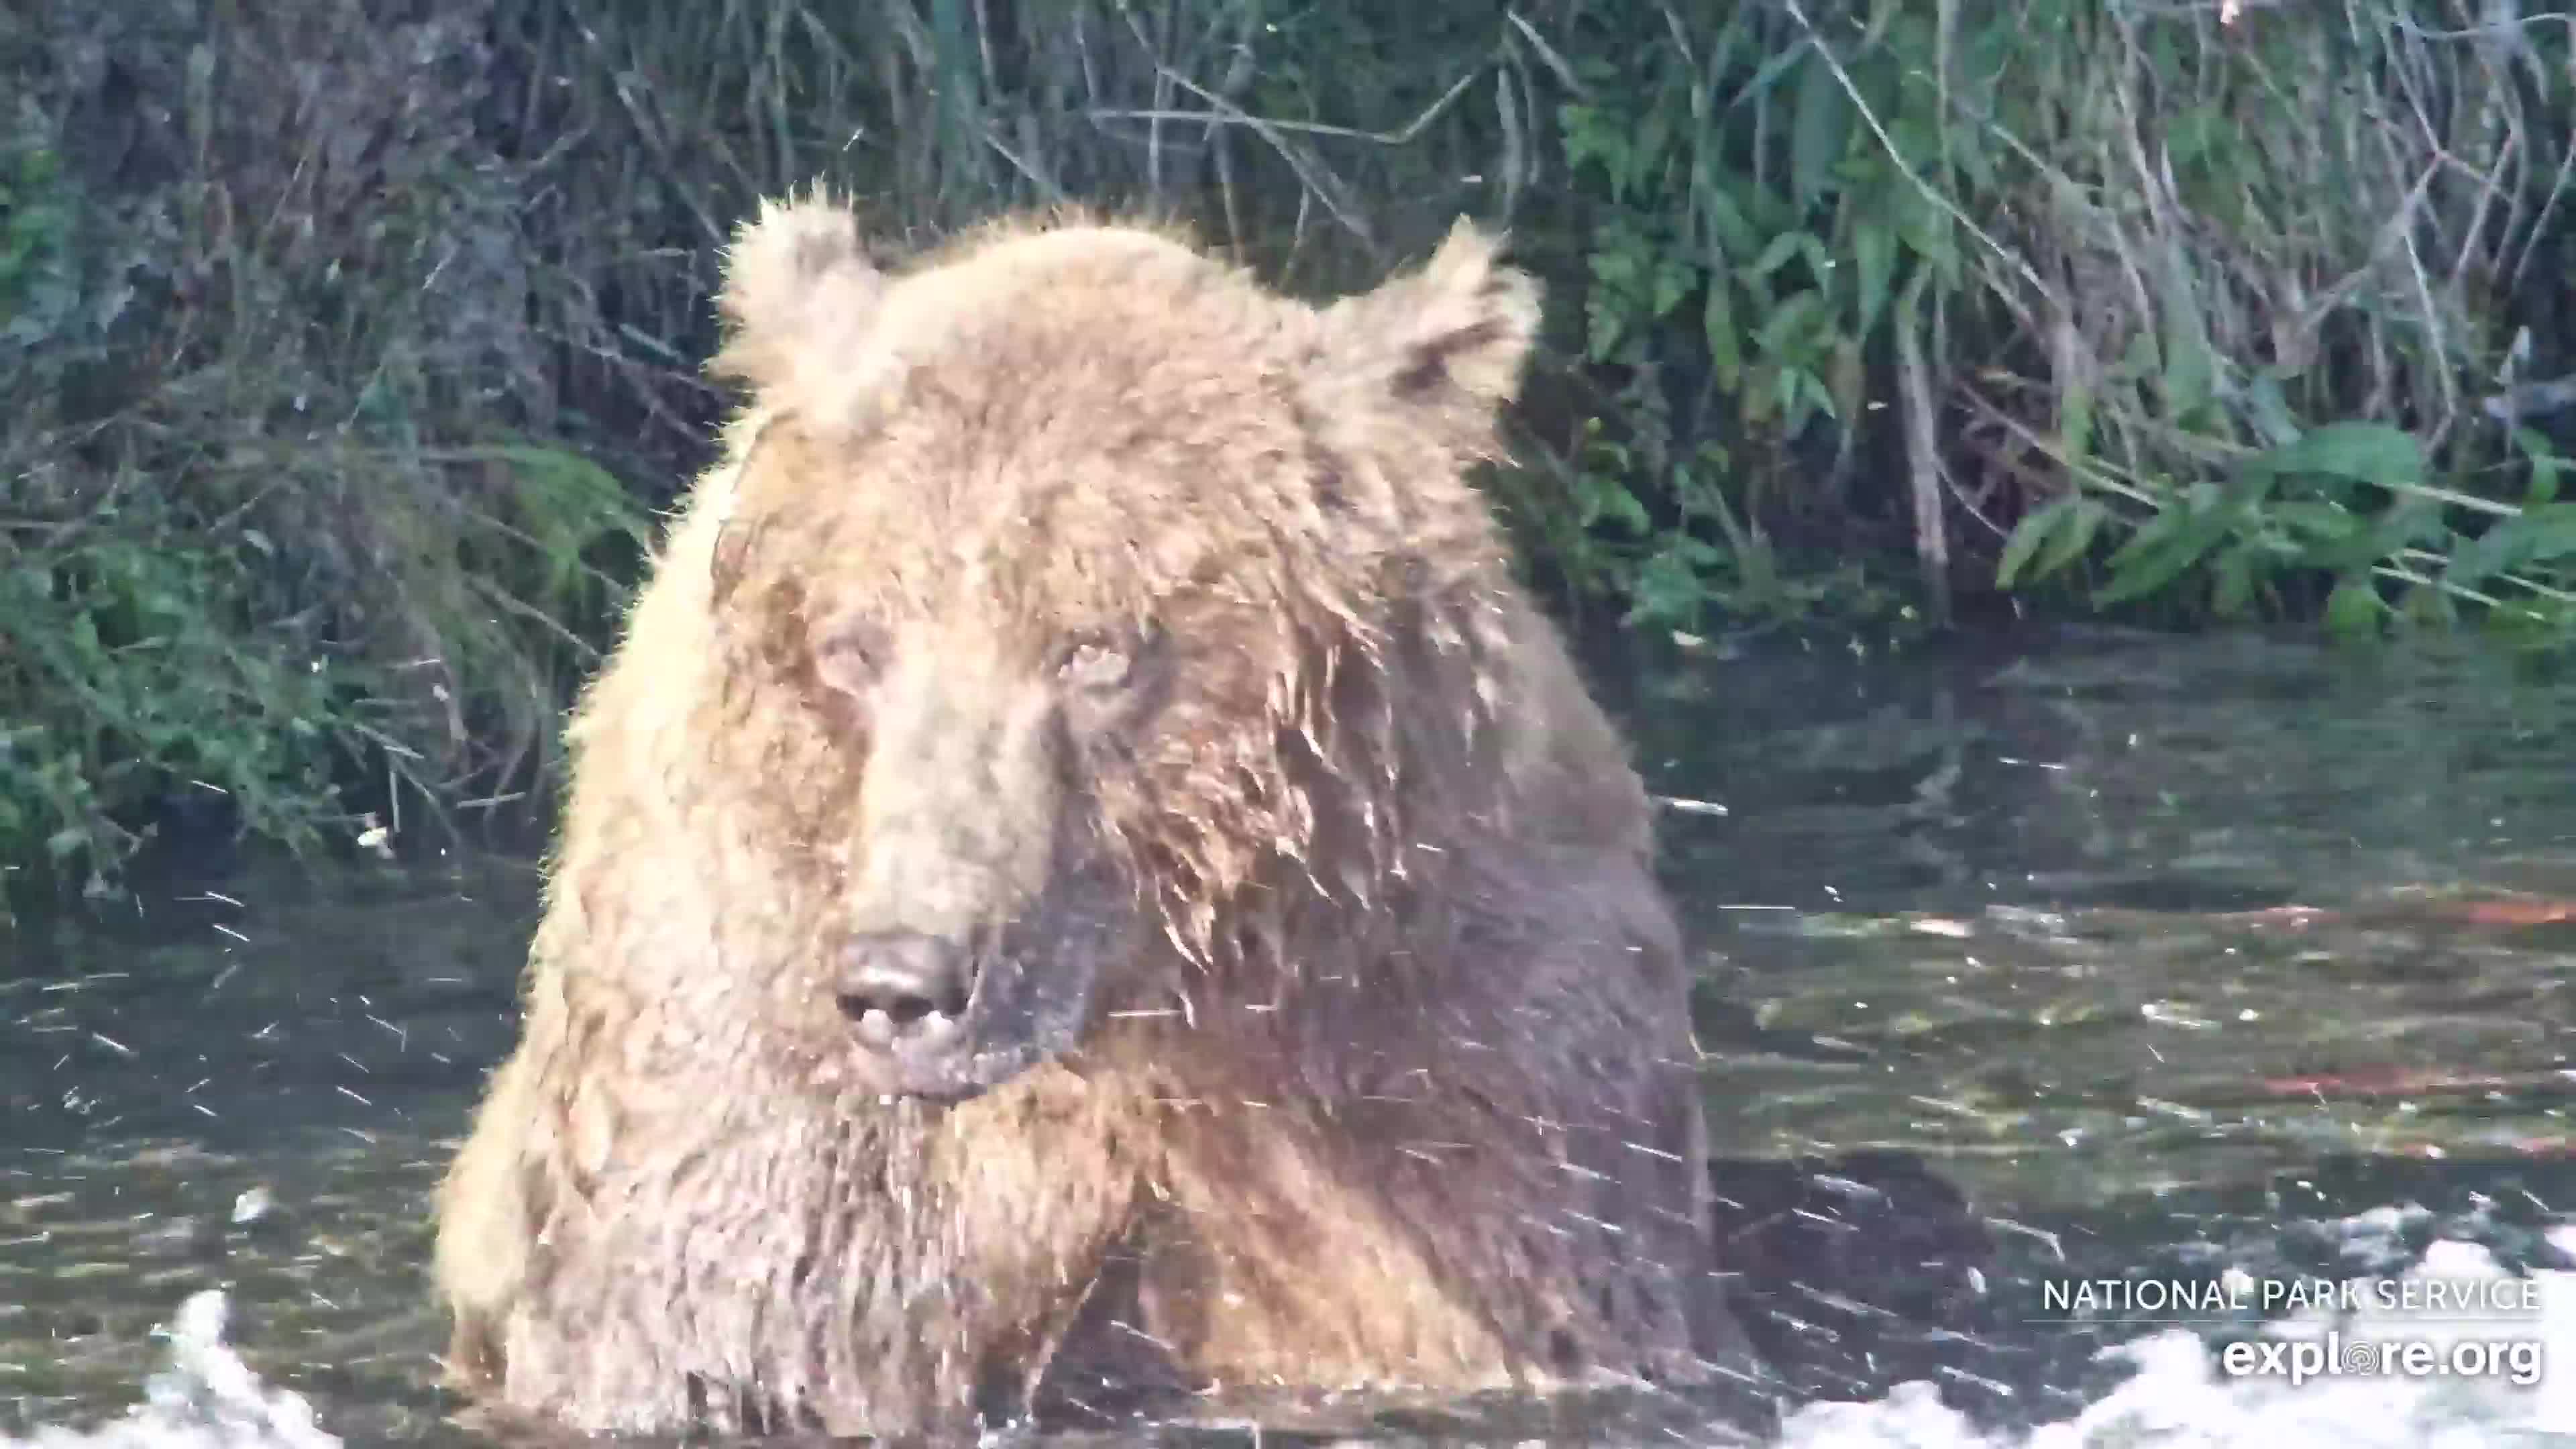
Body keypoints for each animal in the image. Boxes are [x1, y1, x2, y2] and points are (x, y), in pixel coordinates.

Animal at [431, 190, 1763, 1439]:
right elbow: (735, 1314)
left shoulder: (1445, 1044)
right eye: (857, 644)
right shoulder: (753, 1046)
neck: (1145, 1010)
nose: (906, 980)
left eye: (1092, 647)